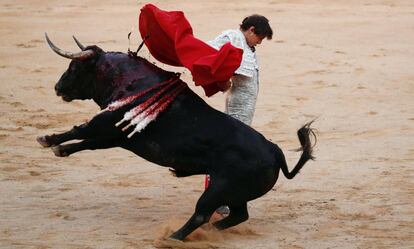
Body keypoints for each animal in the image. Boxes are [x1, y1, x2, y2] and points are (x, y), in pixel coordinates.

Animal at [38, 34, 316, 240]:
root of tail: (275, 151)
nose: (57, 87)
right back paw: (209, 232)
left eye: (74, 66)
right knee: (238, 215)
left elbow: (81, 130)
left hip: (218, 189)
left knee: (202, 214)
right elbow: (88, 143)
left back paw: (173, 237)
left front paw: (47, 140)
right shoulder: (119, 136)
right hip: (234, 192)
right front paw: (59, 149)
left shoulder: (108, 123)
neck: (131, 81)